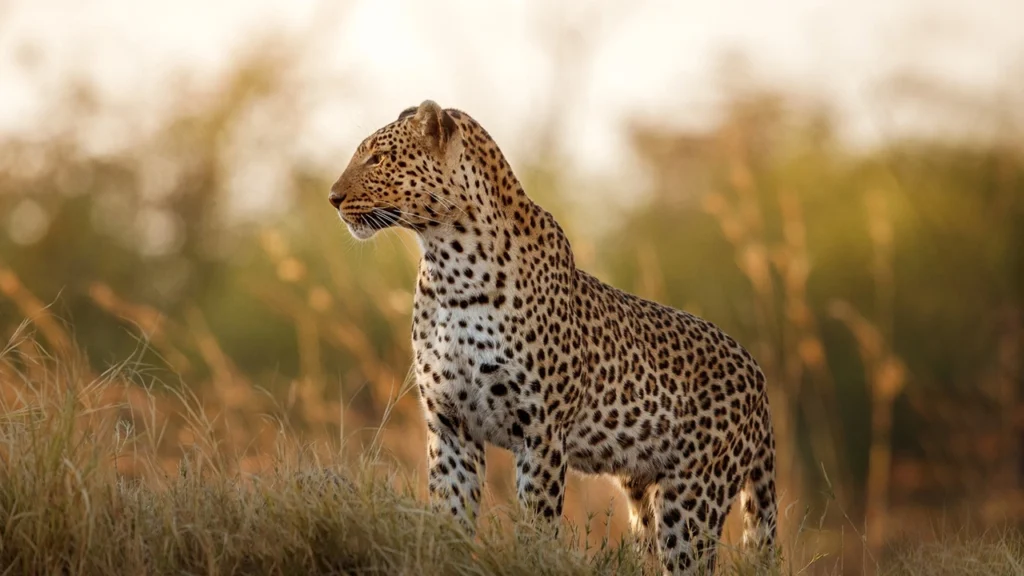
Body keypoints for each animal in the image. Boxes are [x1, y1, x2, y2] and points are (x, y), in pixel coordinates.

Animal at [328, 100, 778, 575]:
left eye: (377, 159)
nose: (333, 198)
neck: (450, 266)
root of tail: (757, 374)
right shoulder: (450, 425)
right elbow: (450, 516)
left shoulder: (540, 431)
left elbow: (537, 524)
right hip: (643, 493)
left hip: (692, 499)